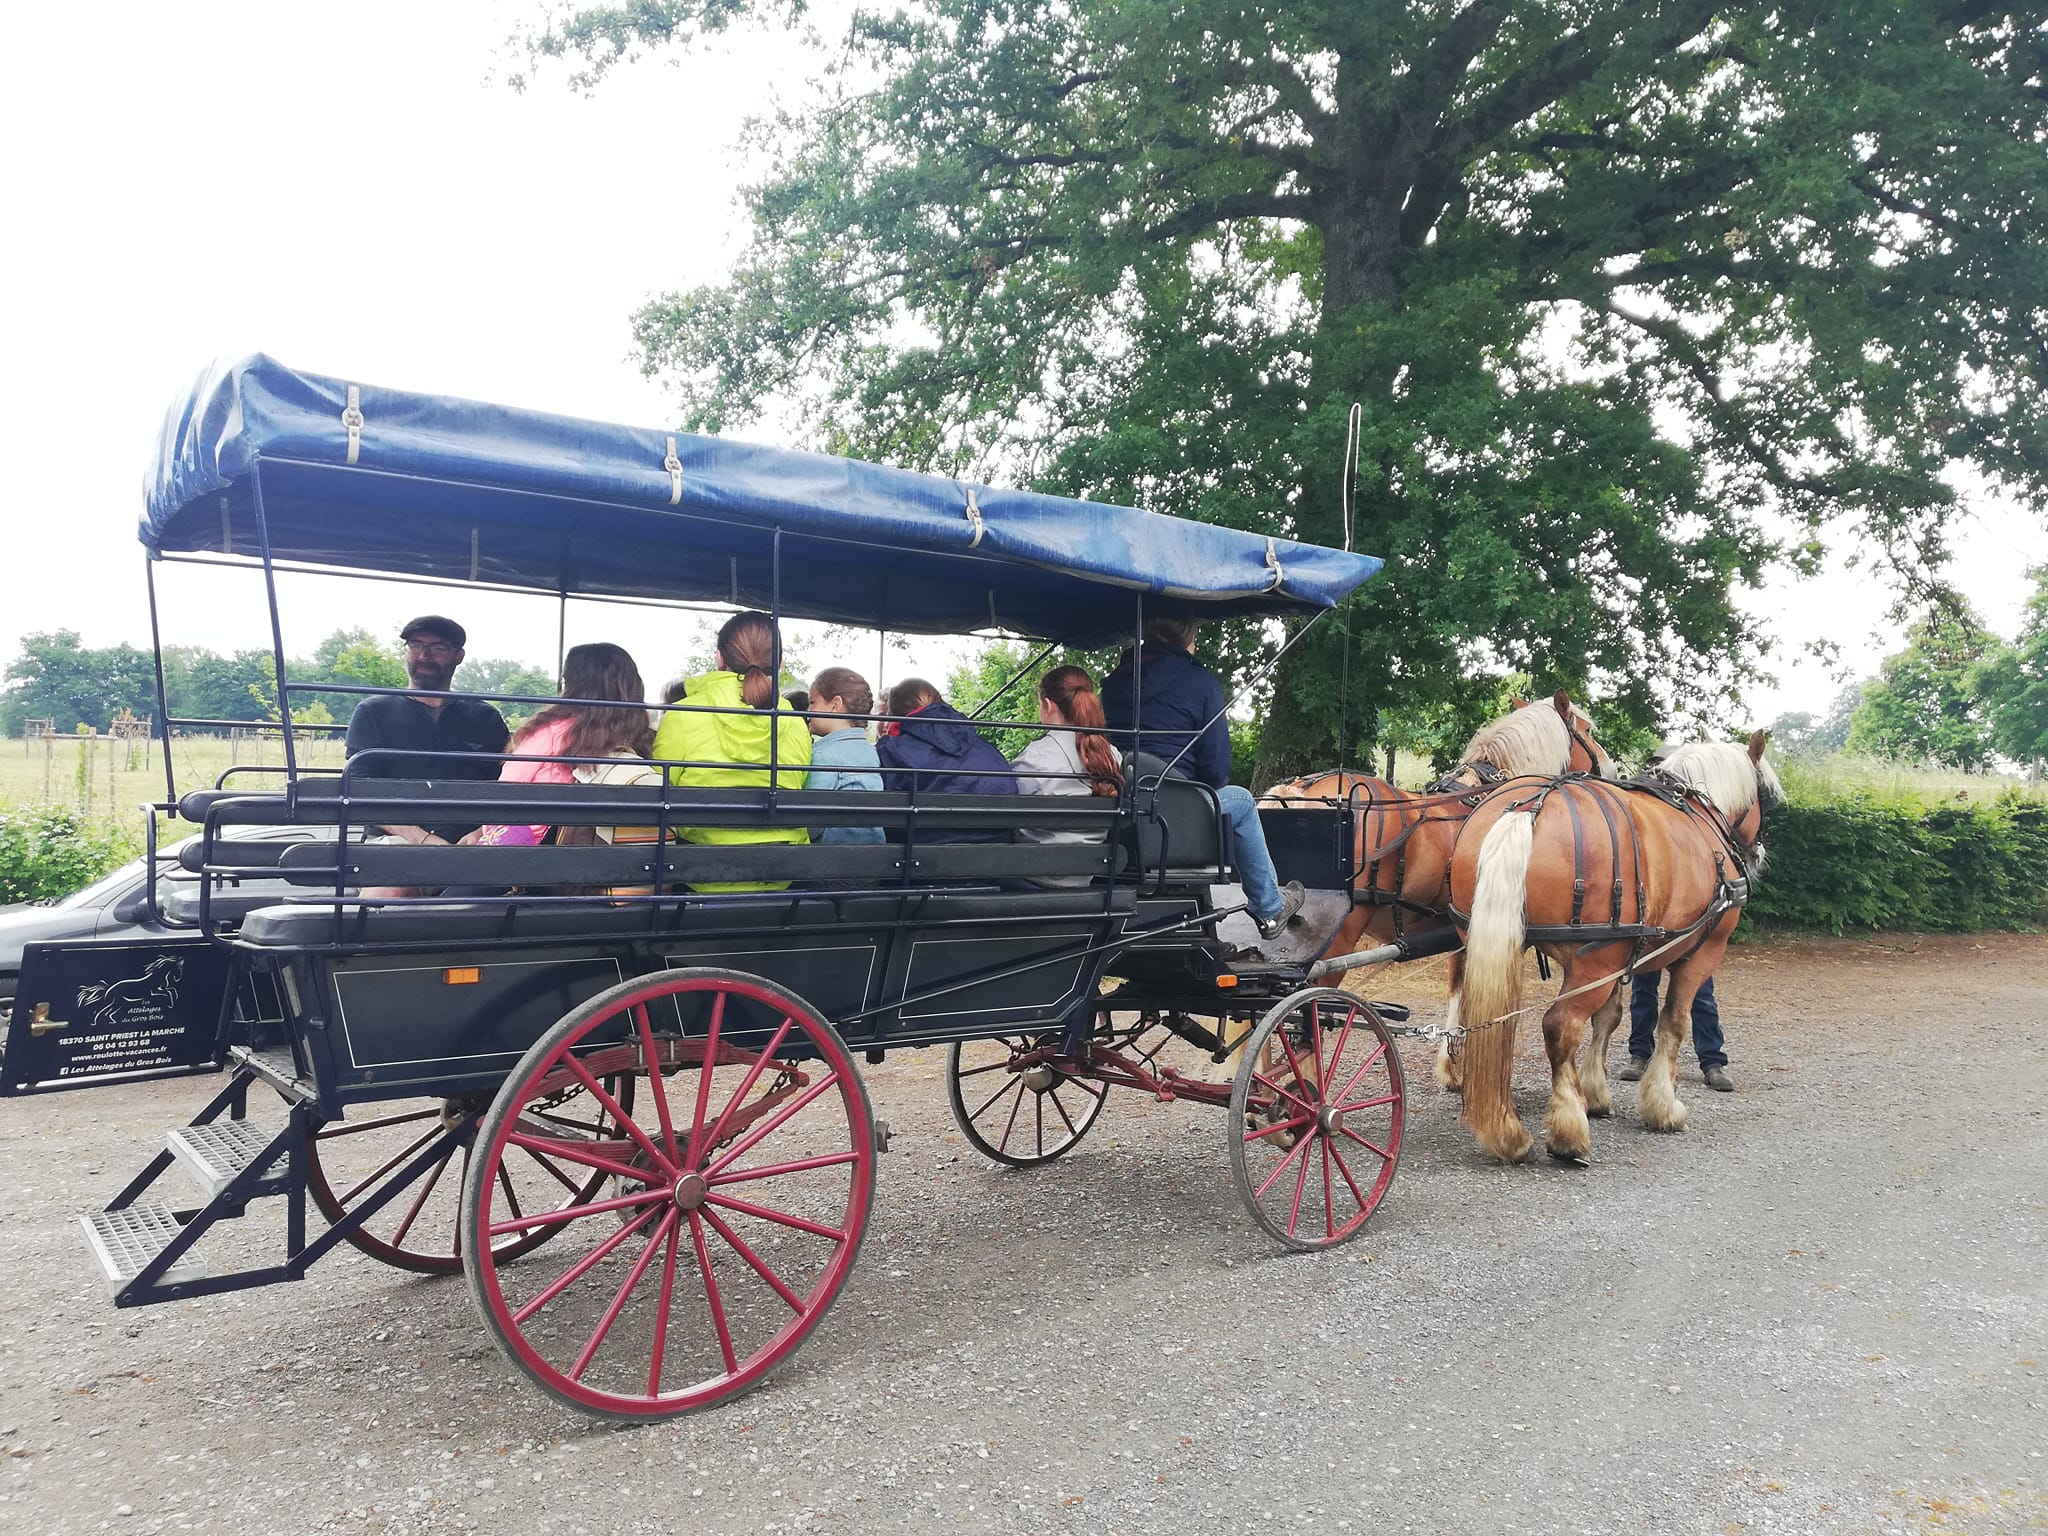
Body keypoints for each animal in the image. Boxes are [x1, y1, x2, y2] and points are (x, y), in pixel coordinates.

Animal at [1441, 741, 1777, 1163]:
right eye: (1767, 797)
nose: (1759, 852)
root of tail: (1529, 807)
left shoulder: (1623, 957)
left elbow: (1609, 1018)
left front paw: (1596, 1092)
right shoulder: (1700, 955)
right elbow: (1674, 1022)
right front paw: (1662, 1106)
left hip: (1493, 945)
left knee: (1488, 1023)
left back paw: (1506, 1130)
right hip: (1593, 962)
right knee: (1561, 1026)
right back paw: (1566, 1132)